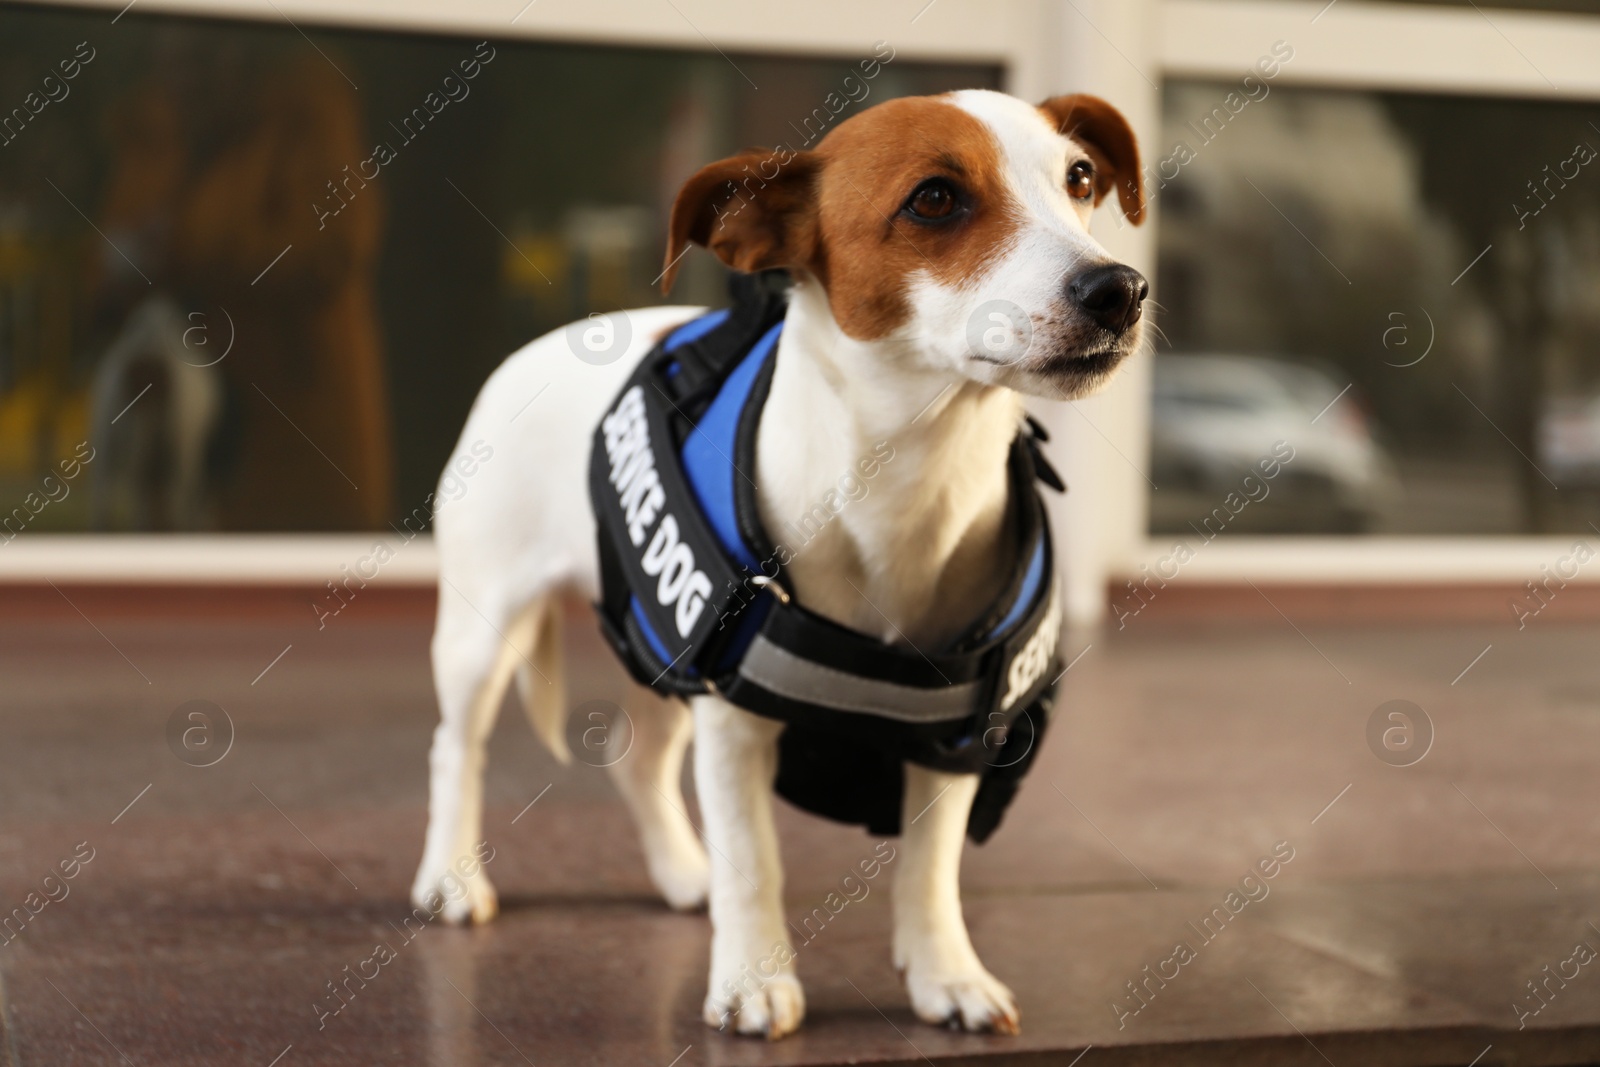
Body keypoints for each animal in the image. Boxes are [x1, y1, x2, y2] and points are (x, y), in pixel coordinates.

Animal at [406, 87, 1145, 1036]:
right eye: (936, 199)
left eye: (1080, 179)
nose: (1120, 288)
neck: (909, 479)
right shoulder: (736, 722)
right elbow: (755, 856)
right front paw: (753, 979)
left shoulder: (950, 733)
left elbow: (930, 865)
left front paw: (946, 972)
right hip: (484, 633)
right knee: (455, 747)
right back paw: (451, 877)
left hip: (672, 652)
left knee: (640, 762)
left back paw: (684, 871)